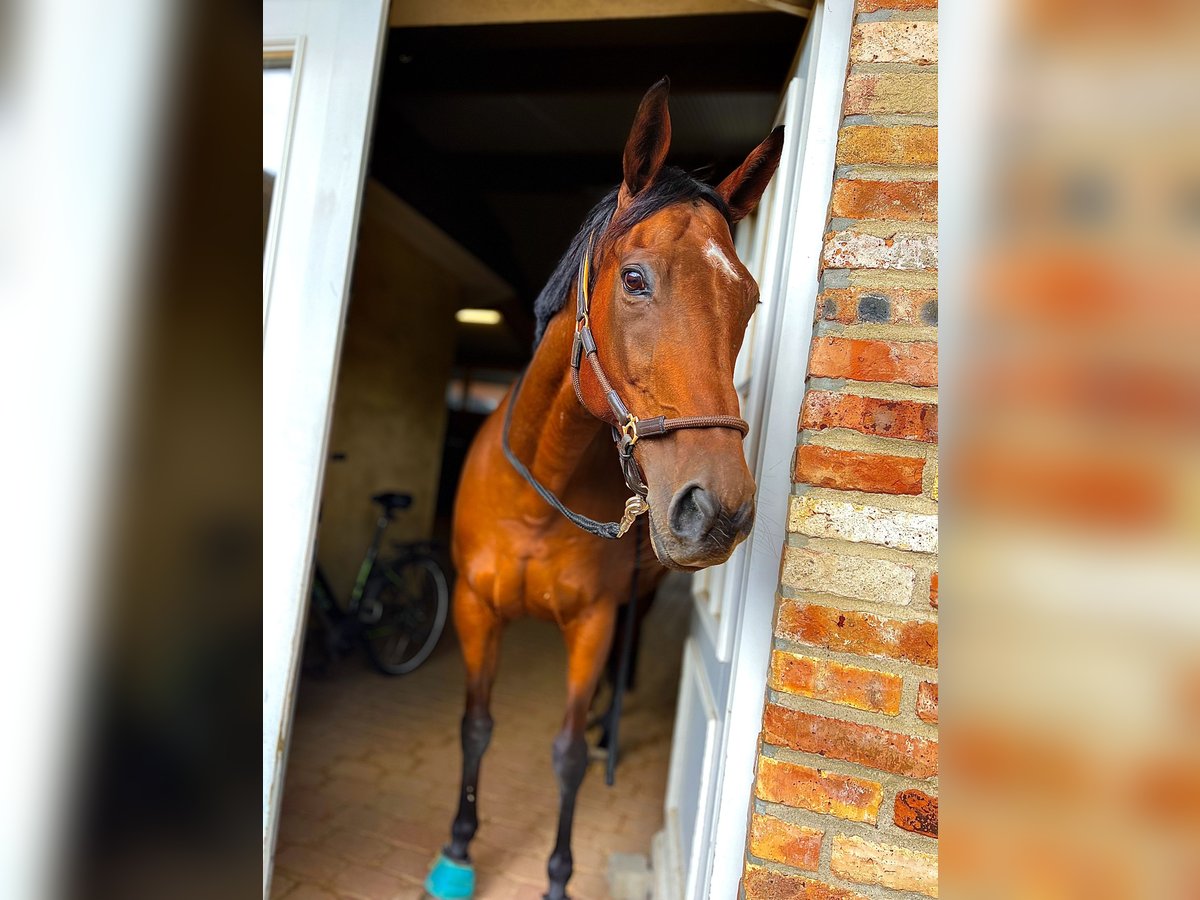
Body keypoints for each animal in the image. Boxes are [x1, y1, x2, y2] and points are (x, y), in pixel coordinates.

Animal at [427, 77, 782, 900]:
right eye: (635, 278)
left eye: (748, 299)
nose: (718, 511)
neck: (537, 498)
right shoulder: (474, 609)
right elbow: (475, 725)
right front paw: (457, 851)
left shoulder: (589, 625)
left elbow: (562, 756)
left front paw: (558, 876)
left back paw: (605, 730)